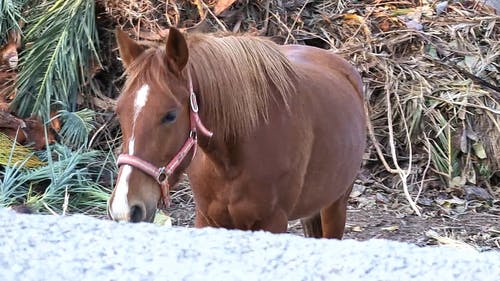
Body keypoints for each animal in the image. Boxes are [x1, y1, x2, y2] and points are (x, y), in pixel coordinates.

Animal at [107, 27, 366, 237]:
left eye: (170, 115)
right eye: (119, 111)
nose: (124, 208)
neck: (230, 160)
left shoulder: (272, 222)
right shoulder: (207, 219)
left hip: (336, 204)